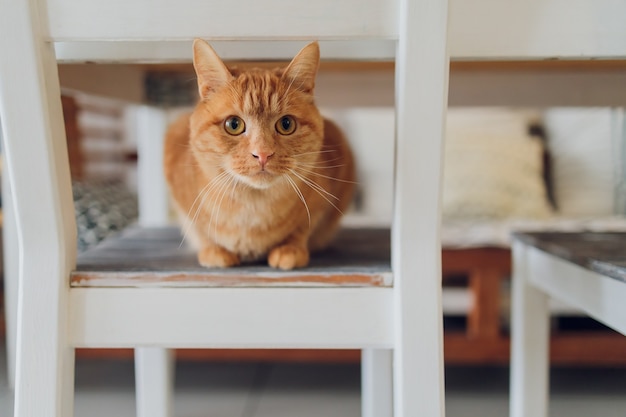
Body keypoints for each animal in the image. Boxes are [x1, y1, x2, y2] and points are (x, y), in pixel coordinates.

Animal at [163, 39, 354, 270]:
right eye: (233, 124)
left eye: (286, 124)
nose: (262, 154)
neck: (252, 209)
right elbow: (200, 228)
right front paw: (214, 250)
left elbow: (303, 227)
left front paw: (289, 248)